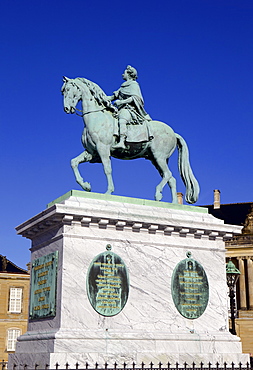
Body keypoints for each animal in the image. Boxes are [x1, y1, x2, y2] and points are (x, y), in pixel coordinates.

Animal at [61, 75, 200, 202]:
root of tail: (173, 133)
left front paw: (108, 192)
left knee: (168, 175)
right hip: (156, 159)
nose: (67, 109)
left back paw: (158, 194)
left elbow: (107, 169)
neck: (97, 117)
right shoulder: (91, 152)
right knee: (172, 179)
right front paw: (86, 186)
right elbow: (73, 162)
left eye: (68, 89)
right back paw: (174, 204)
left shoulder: (103, 149)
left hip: (159, 156)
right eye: (63, 91)